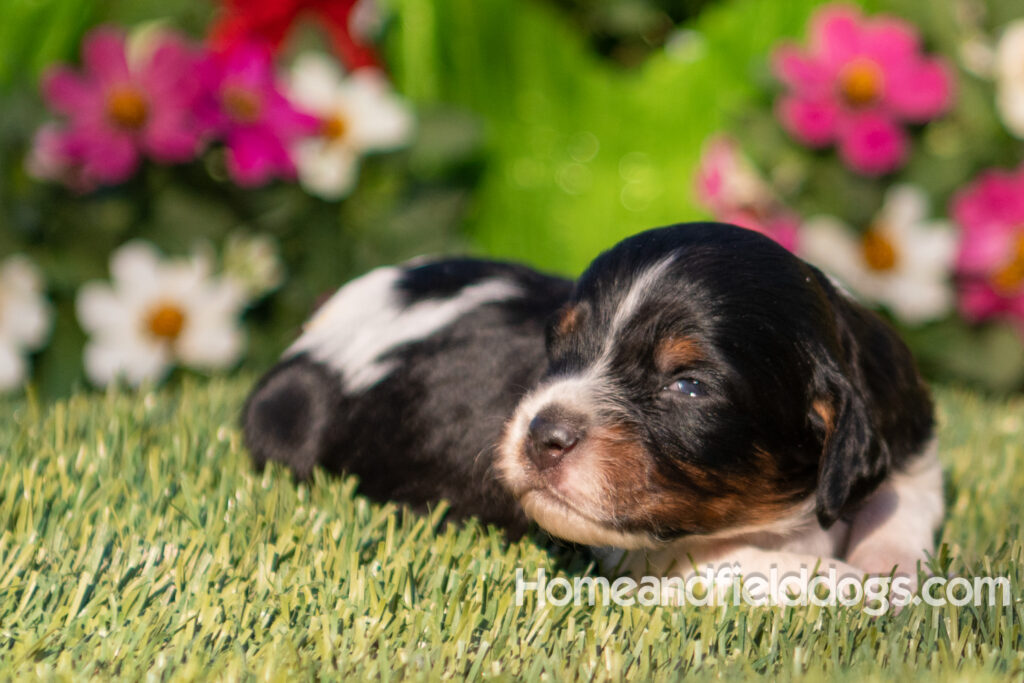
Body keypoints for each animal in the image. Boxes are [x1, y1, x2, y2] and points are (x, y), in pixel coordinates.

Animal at [245, 223, 942, 598]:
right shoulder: (641, 552)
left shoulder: (910, 427)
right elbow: (767, 565)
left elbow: (904, 503)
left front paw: (892, 566)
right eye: (559, 348)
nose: (541, 434)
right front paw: (868, 586)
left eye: (689, 386)